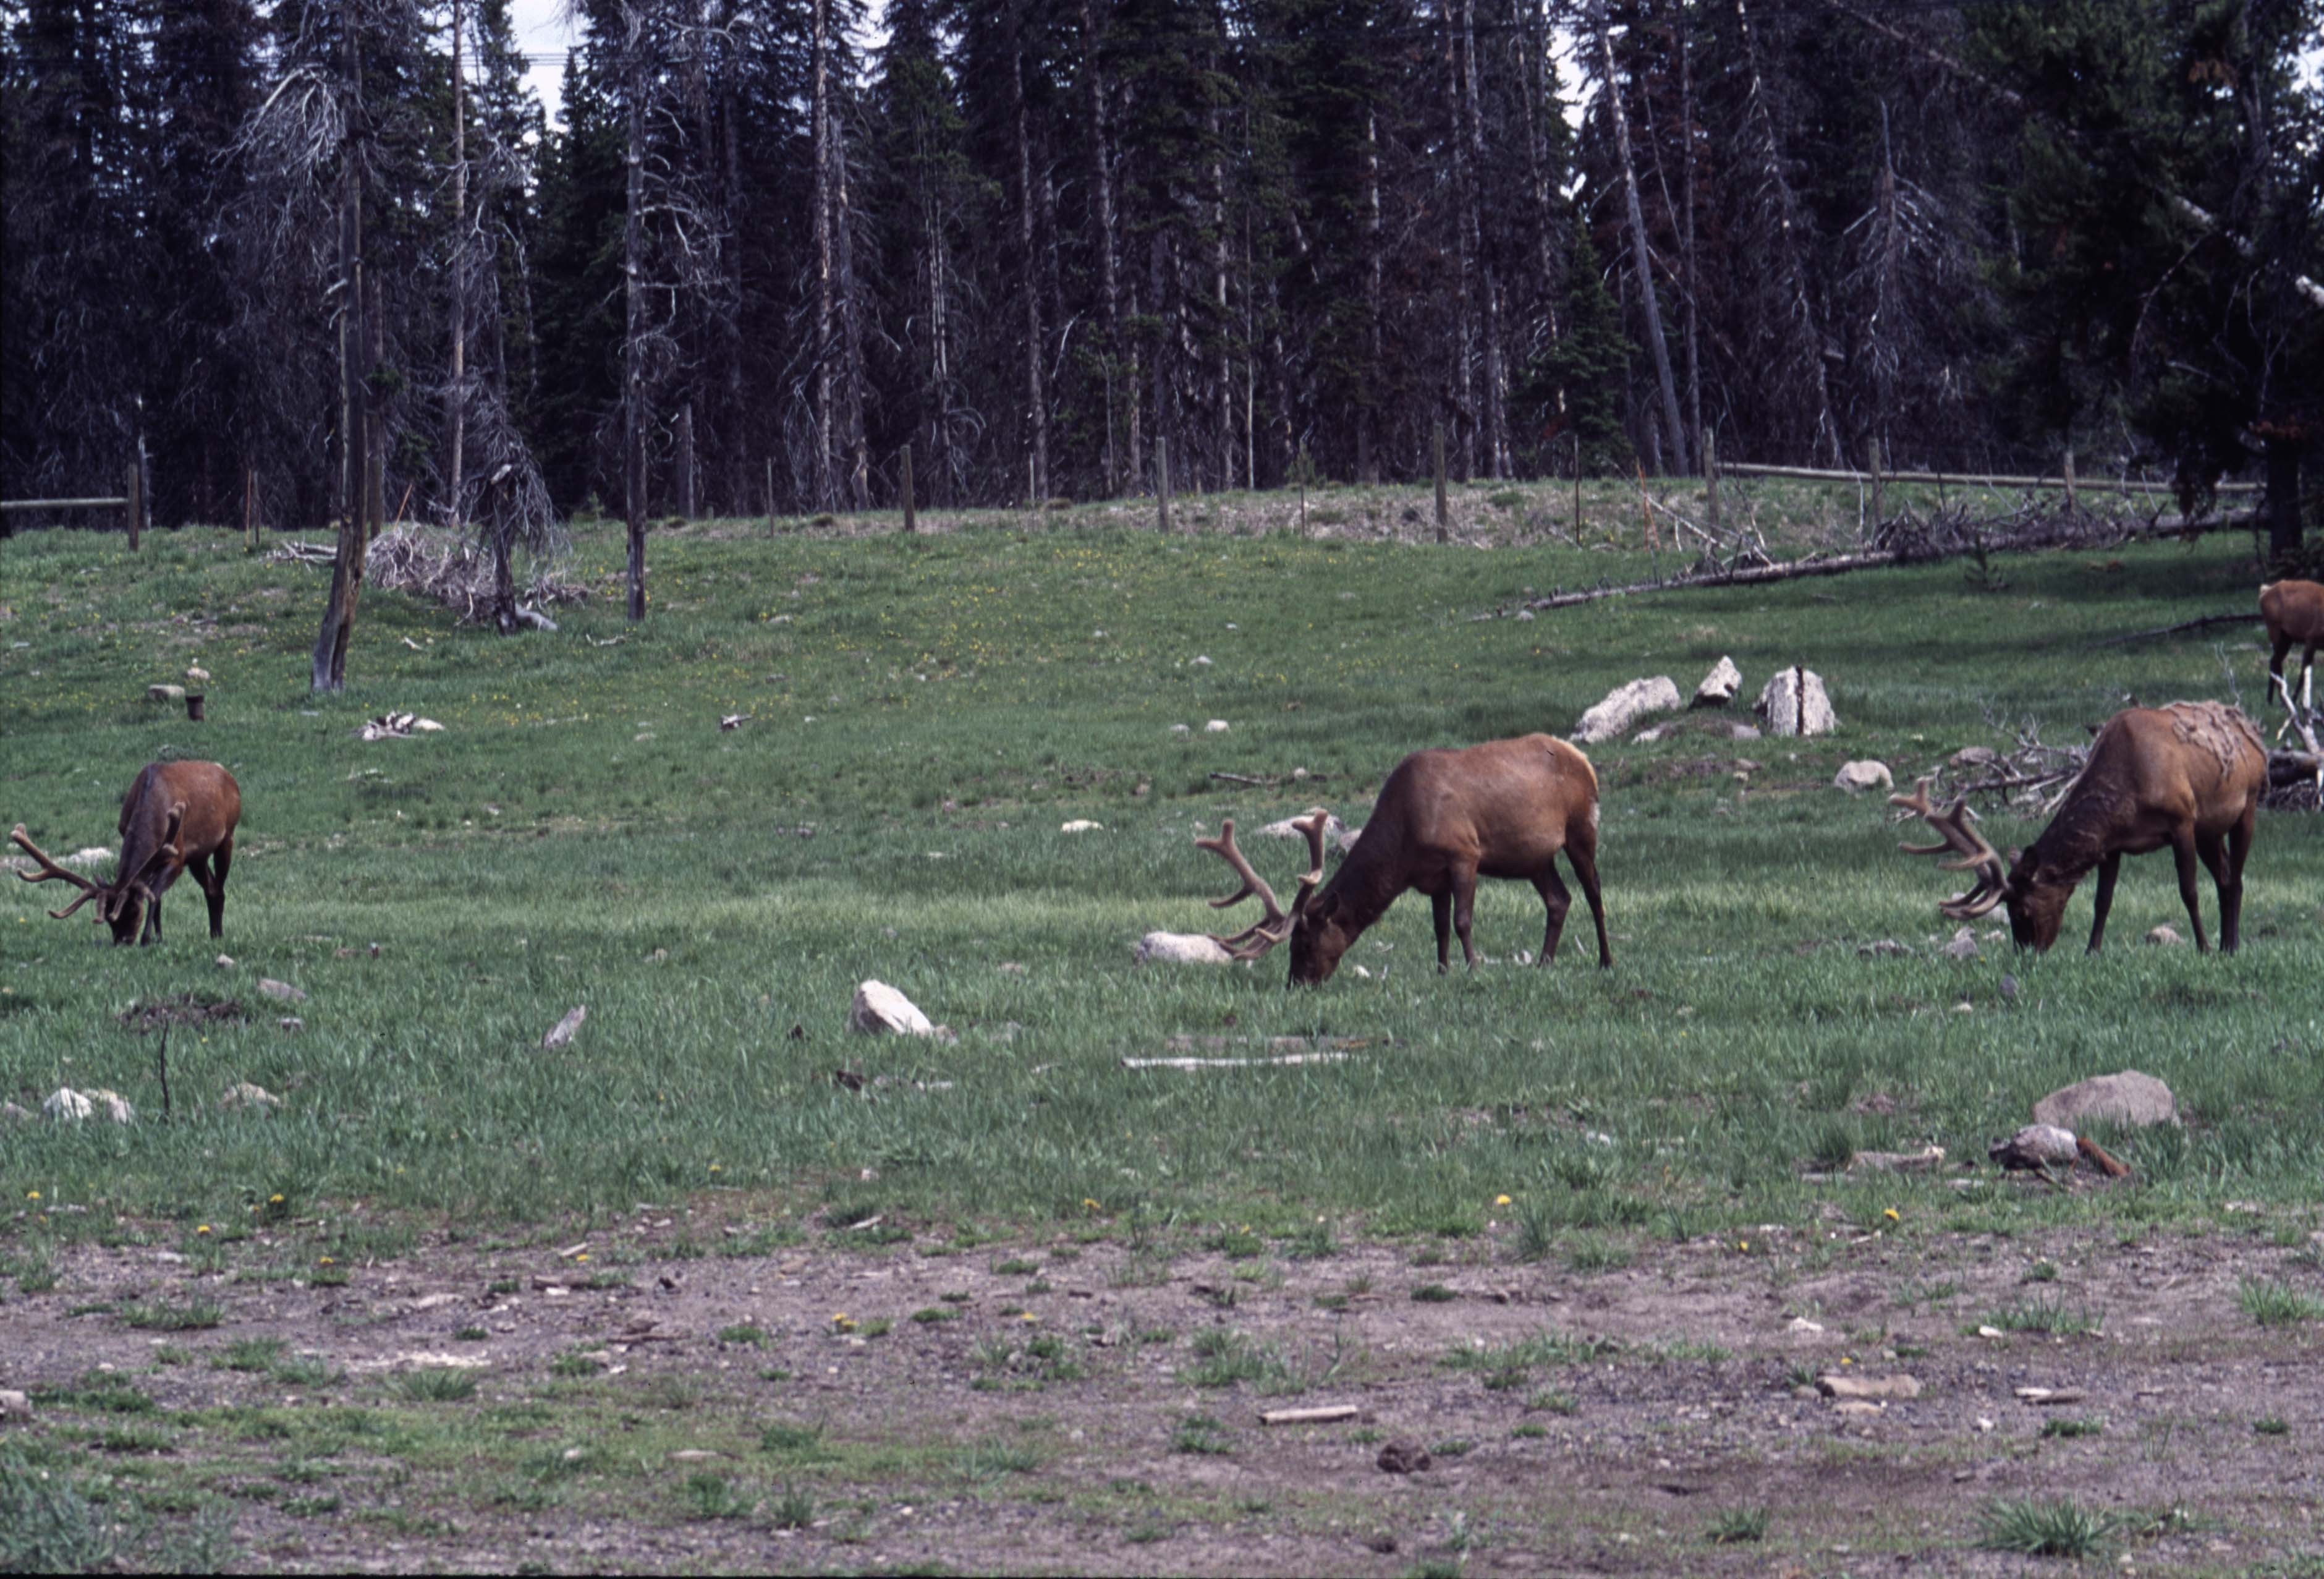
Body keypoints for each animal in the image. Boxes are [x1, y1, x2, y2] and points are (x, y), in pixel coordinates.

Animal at [11, 761, 242, 946]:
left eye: (132, 911)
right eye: (108, 917)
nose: (122, 941)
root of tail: (228, 775)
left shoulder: (177, 856)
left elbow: (154, 893)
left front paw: (148, 939)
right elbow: (153, 894)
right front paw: (159, 938)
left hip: (228, 835)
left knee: (219, 888)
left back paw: (219, 935)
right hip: (198, 857)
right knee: (211, 888)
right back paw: (213, 934)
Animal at [1196, 733, 1610, 986]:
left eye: (1306, 943)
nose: (1296, 984)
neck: (1405, 843)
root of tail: (1585, 760)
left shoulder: (1464, 854)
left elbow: (1462, 921)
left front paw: (1474, 969)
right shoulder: (1432, 877)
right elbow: (1439, 928)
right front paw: (1443, 972)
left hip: (1582, 827)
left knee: (1593, 892)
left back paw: (1606, 962)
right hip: (1535, 859)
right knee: (1559, 899)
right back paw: (1544, 963)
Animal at [1891, 701, 2264, 954]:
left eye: (2021, 909)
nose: (2026, 952)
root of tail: (2251, 730)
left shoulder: (2182, 820)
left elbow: (2189, 891)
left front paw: (2202, 947)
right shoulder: (2113, 843)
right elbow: (2103, 900)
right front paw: (2091, 951)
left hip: (2248, 802)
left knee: (2237, 877)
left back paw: (2230, 946)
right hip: (2210, 830)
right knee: (2225, 875)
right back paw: (2227, 944)